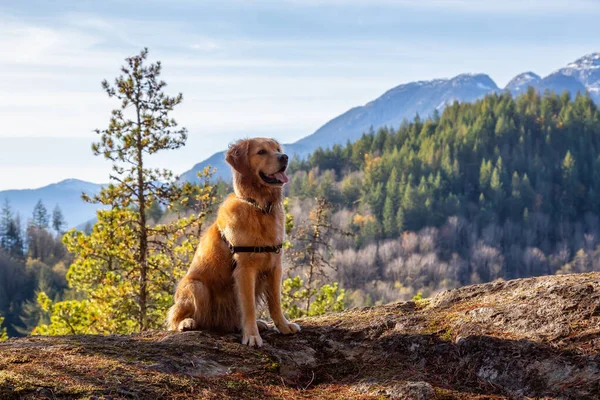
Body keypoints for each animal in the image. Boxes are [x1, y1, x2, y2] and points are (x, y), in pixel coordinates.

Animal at [168, 138, 300, 346]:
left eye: (277, 149)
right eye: (261, 152)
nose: (284, 157)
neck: (259, 206)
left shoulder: (274, 266)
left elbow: (275, 303)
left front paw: (284, 326)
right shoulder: (245, 269)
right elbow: (249, 307)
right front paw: (252, 336)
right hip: (197, 286)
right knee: (176, 317)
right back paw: (187, 322)